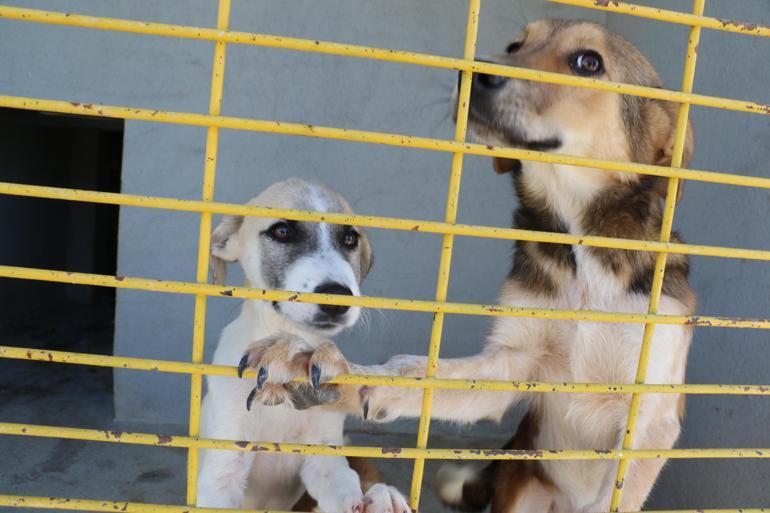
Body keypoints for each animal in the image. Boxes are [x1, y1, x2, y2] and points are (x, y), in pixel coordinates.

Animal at [196, 177, 408, 512]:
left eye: (349, 238)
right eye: (281, 231)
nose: (337, 297)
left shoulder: (324, 459)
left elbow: (345, 486)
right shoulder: (222, 472)